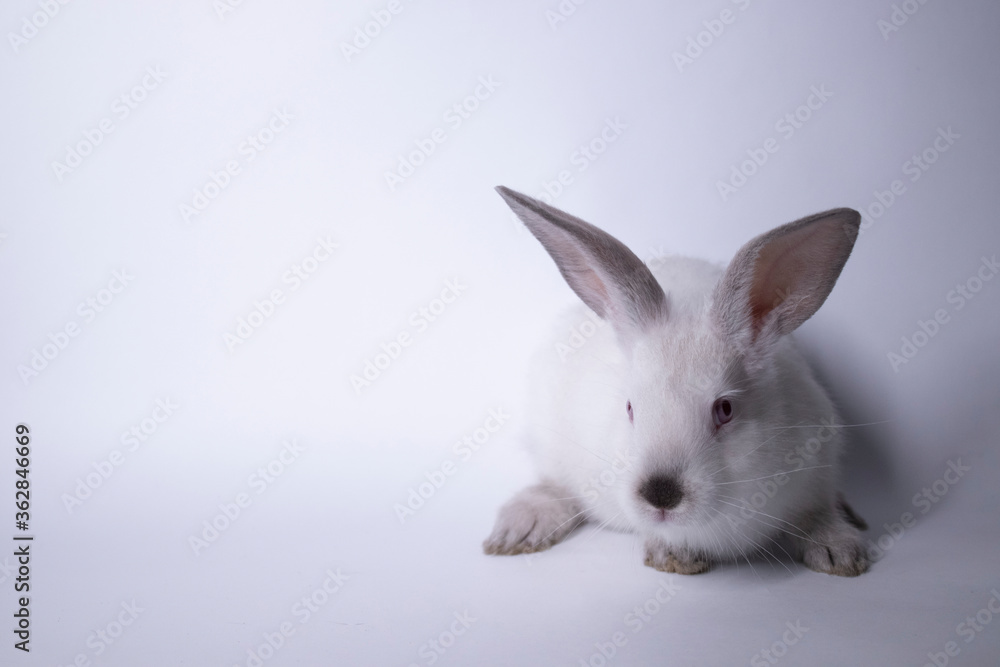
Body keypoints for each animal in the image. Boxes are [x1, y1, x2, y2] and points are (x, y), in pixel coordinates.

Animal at [482, 185, 868, 576]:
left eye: (725, 409)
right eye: (630, 407)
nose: (661, 495)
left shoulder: (817, 463)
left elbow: (815, 514)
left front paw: (840, 553)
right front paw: (674, 557)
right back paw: (519, 529)